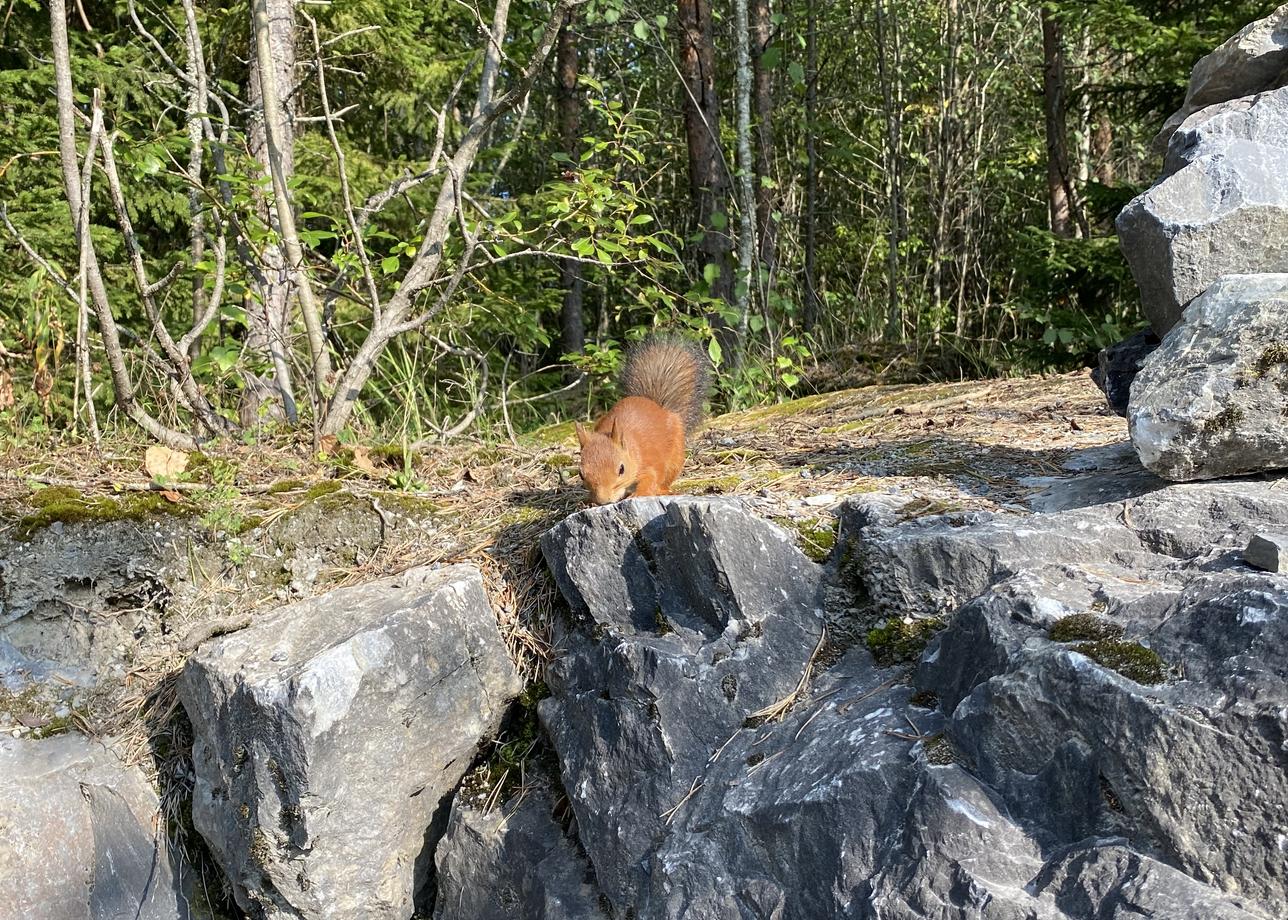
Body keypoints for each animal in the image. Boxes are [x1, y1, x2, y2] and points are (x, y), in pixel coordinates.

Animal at [577, 332, 710, 502]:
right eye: (581, 474)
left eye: (621, 469)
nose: (603, 501)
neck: (631, 446)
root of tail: (658, 406)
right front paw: (588, 501)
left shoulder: (650, 461)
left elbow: (651, 478)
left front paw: (639, 494)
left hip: (675, 457)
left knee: (665, 480)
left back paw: (663, 491)